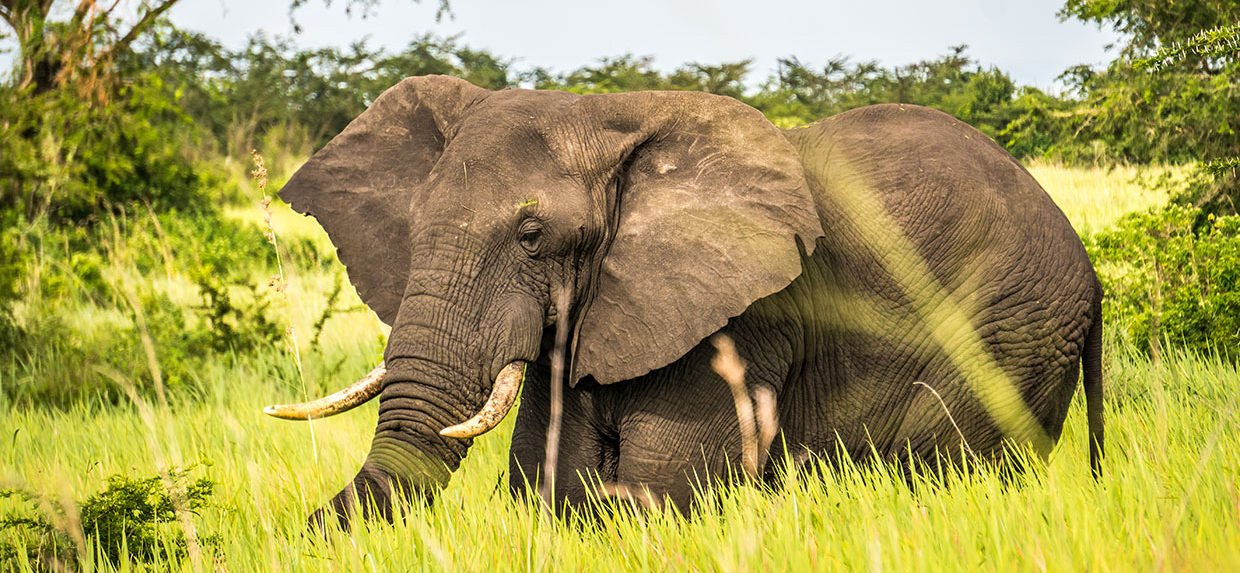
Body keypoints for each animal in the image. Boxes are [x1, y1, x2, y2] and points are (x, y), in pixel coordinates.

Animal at [264, 74, 1104, 528]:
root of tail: (1090, 274)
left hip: (1010, 333)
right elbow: (557, 482)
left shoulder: (739, 322)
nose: (301, 531)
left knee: (952, 467)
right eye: (413, 228)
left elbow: (657, 489)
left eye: (533, 237)